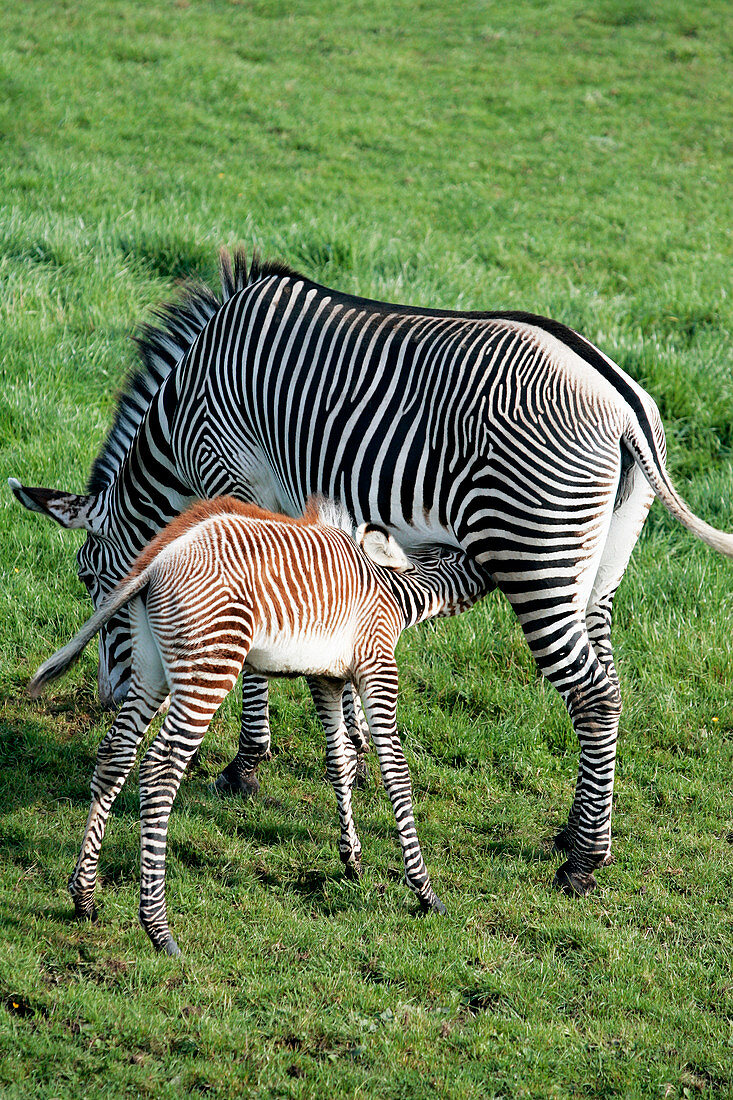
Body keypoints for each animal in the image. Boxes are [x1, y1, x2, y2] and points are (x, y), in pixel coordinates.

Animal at [11, 249, 730, 893]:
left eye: (86, 578)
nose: (107, 697)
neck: (185, 405)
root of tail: (624, 403)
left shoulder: (236, 483)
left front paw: (247, 765)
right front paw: (353, 749)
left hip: (535, 555)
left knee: (592, 693)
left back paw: (580, 864)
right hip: (595, 570)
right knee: (608, 682)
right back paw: (580, 835)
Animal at [29, 497, 484, 954]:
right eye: (451, 555)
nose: (488, 569)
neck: (388, 587)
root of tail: (156, 564)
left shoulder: (327, 677)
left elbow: (340, 763)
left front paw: (351, 857)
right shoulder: (377, 666)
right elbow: (396, 773)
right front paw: (424, 890)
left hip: (150, 667)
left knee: (115, 753)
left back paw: (84, 897)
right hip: (208, 667)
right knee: (159, 771)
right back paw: (158, 928)